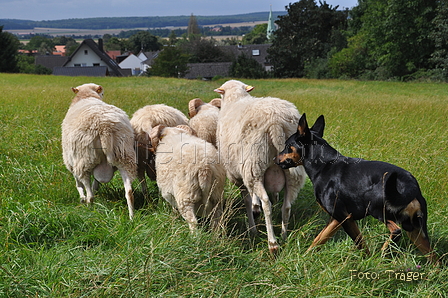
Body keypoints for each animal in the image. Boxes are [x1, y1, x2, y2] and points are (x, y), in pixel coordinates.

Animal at [61, 84, 136, 219]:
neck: (86, 96)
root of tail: (105, 127)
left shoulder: (70, 160)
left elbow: (78, 182)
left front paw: (81, 197)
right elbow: (96, 182)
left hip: (84, 159)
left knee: (88, 190)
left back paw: (88, 206)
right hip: (125, 156)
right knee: (129, 192)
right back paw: (132, 217)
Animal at [214, 79, 306, 254]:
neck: (235, 98)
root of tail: (276, 122)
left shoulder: (237, 176)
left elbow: (247, 200)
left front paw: (252, 228)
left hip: (253, 166)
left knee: (266, 203)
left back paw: (273, 243)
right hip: (294, 173)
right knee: (287, 206)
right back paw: (284, 236)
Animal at [274, 114, 436, 264]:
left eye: (287, 145)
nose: (275, 159)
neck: (324, 164)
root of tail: (411, 183)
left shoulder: (344, 217)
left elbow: (360, 243)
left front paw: (368, 262)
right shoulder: (336, 219)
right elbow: (319, 240)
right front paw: (304, 258)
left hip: (378, 211)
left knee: (396, 231)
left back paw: (383, 253)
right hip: (416, 230)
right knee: (434, 258)